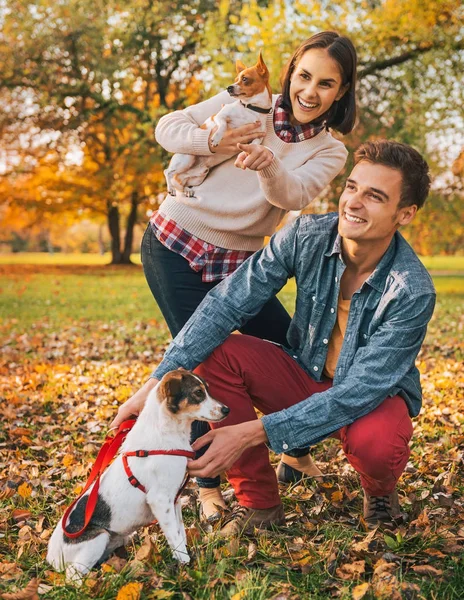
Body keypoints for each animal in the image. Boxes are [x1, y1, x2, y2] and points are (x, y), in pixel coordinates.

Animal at [46, 368, 229, 584]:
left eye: (207, 389)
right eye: (198, 393)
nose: (226, 410)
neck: (166, 435)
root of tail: (52, 557)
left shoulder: (174, 499)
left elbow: (180, 531)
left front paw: (184, 554)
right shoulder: (160, 500)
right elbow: (174, 535)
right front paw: (184, 562)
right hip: (97, 538)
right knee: (72, 576)